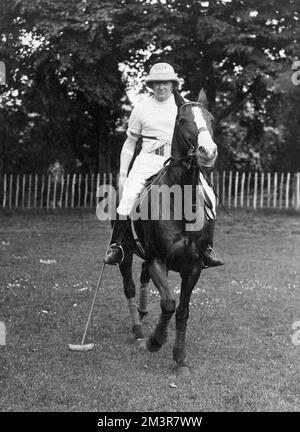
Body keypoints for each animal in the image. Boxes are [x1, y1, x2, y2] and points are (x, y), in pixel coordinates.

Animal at [117, 88, 218, 374]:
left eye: (211, 119)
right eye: (182, 121)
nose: (208, 151)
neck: (181, 204)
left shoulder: (193, 267)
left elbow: (182, 310)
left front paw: (180, 357)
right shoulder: (158, 260)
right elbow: (168, 304)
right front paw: (155, 341)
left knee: (141, 277)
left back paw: (142, 313)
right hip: (126, 251)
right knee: (129, 284)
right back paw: (139, 331)